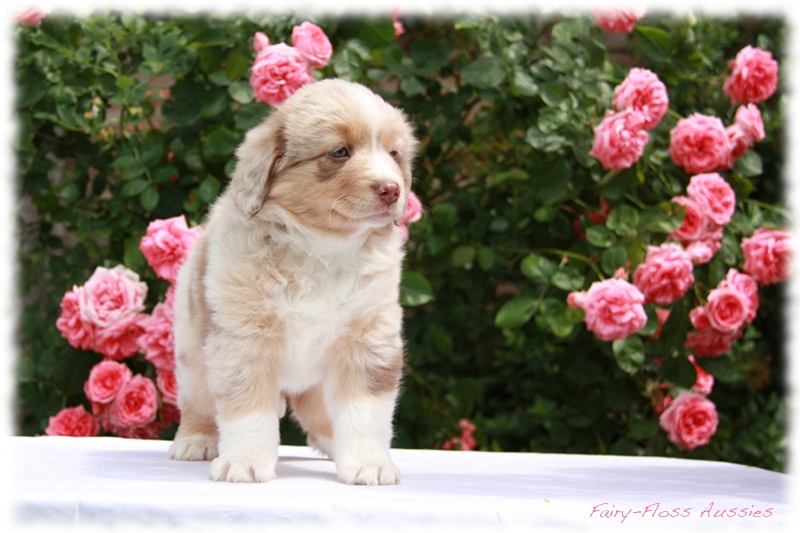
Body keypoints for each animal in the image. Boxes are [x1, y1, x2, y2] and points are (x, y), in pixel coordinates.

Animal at [169, 80, 418, 486]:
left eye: (394, 153)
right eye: (339, 152)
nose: (391, 189)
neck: (323, 248)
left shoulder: (367, 340)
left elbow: (365, 411)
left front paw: (369, 463)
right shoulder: (244, 340)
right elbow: (248, 409)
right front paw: (245, 462)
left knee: (320, 415)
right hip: (192, 354)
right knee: (198, 403)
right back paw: (194, 441)